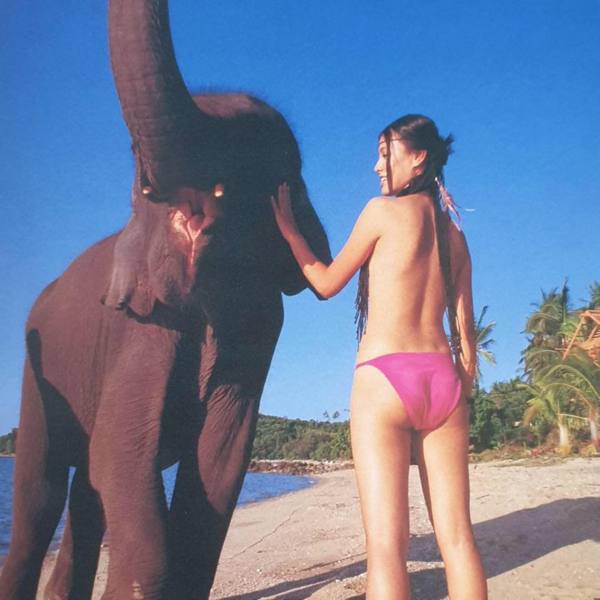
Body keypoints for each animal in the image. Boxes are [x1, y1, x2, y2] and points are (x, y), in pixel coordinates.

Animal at [0, 1, 331, 598]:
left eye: (255, 155)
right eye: (142, 186)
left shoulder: (260, 325)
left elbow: (220, 458)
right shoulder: (139, 326)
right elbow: (121, 453)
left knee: (82, 492)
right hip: (35, 374)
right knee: (41, 493)